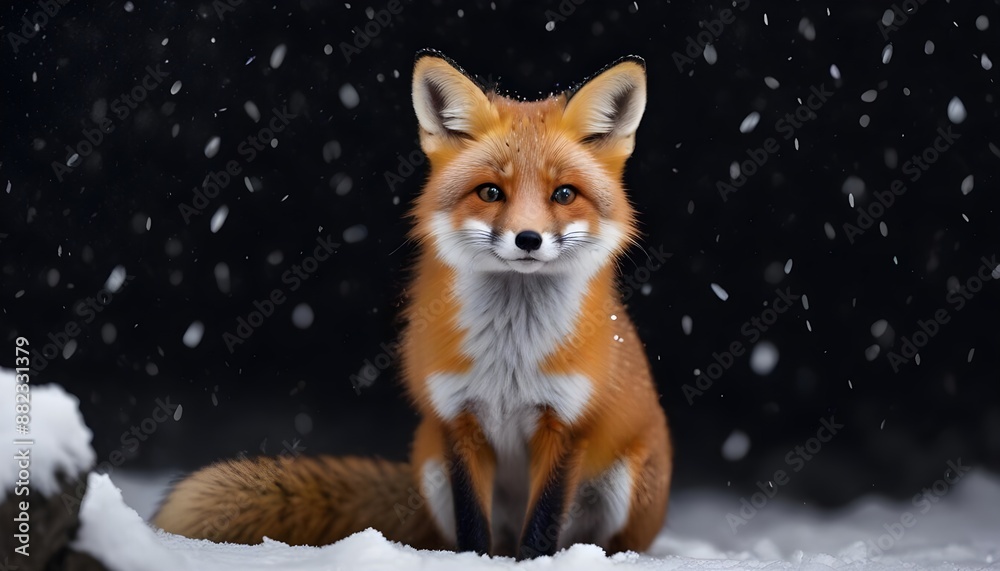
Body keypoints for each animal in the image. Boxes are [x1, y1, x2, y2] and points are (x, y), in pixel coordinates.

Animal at [154, 50, 672, 559]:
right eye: (490, 192)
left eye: (564, 194)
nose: (528, 239)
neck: (511, 356)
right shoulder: (457, 420)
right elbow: (472, 527)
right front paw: (474, 563)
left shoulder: (566, 425)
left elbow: (542, 528)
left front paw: (535, 563)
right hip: (429, 462)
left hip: (624, 483)